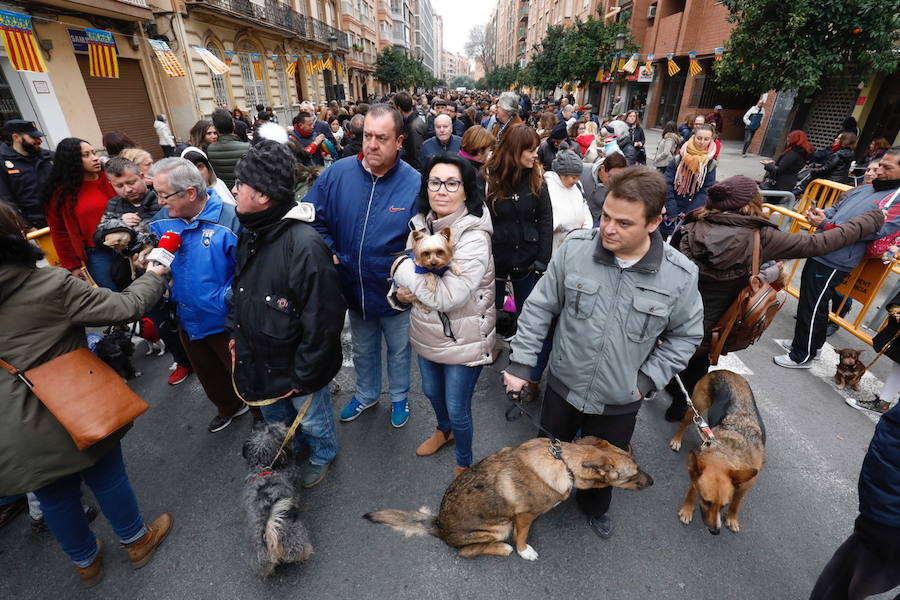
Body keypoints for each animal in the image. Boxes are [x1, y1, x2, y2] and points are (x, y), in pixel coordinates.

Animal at [362, 438, 652, 560]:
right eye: (633, 473)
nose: (652, 482)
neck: (563, 461)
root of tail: (438, 525)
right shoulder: (523, 516)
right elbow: (522, 535)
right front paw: (525, 551)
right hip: (497, 527)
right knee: (467, 552)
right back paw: (502, 548)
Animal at [668, 370, 768, 536]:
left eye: (724, 506)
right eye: (706, 502)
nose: (715, 531)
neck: (729, 453)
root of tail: (727, 371)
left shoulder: (744, 488)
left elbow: (736, 504)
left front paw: (732, 518)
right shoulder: (697, 474)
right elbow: (692, 492)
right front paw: (687, 510)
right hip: (696, 407)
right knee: (683, 424)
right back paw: (677, 440)